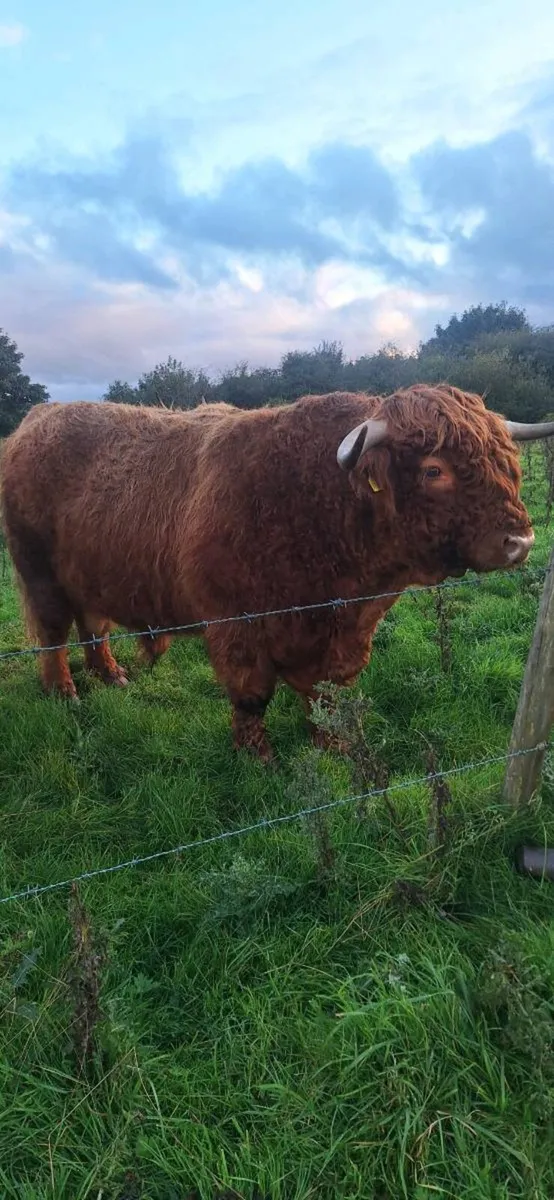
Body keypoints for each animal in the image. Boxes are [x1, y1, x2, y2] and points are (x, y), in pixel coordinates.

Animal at [1, 386, 553, 761]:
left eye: (507, 462)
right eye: (434, 469)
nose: (521, 542)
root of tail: (37, 419)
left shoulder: (344, 634)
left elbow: (328, 694)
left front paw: (333, 747)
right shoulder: (235, 625)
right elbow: (251, 695)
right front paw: (257, 758)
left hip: (90, 575)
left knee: (93, 624)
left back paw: (112, 676)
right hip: (39, 571)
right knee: (53, 632)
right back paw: (65, 694)